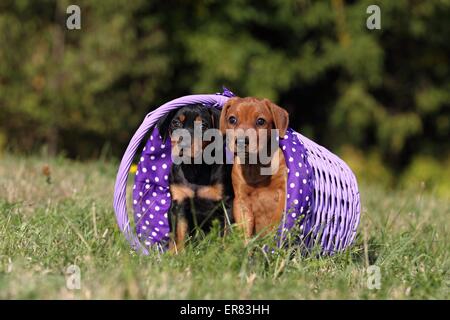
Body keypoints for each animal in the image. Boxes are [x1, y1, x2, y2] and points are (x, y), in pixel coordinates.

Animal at [157, 105, 234, 252]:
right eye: (176, 123)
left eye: (203, 125)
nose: (183, 143)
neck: (195, 168)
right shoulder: (179, 205)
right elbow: (179, 234)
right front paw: (178, 253)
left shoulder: (227, 204)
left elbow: (228, 232)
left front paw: (229, 252)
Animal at [221, 96, 288, 241]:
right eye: (232, 119)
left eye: (260, 121)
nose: (241, 142)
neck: (256, 165)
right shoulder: (241, 201)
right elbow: (244, 230)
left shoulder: (283, 193)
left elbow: (275, 223)